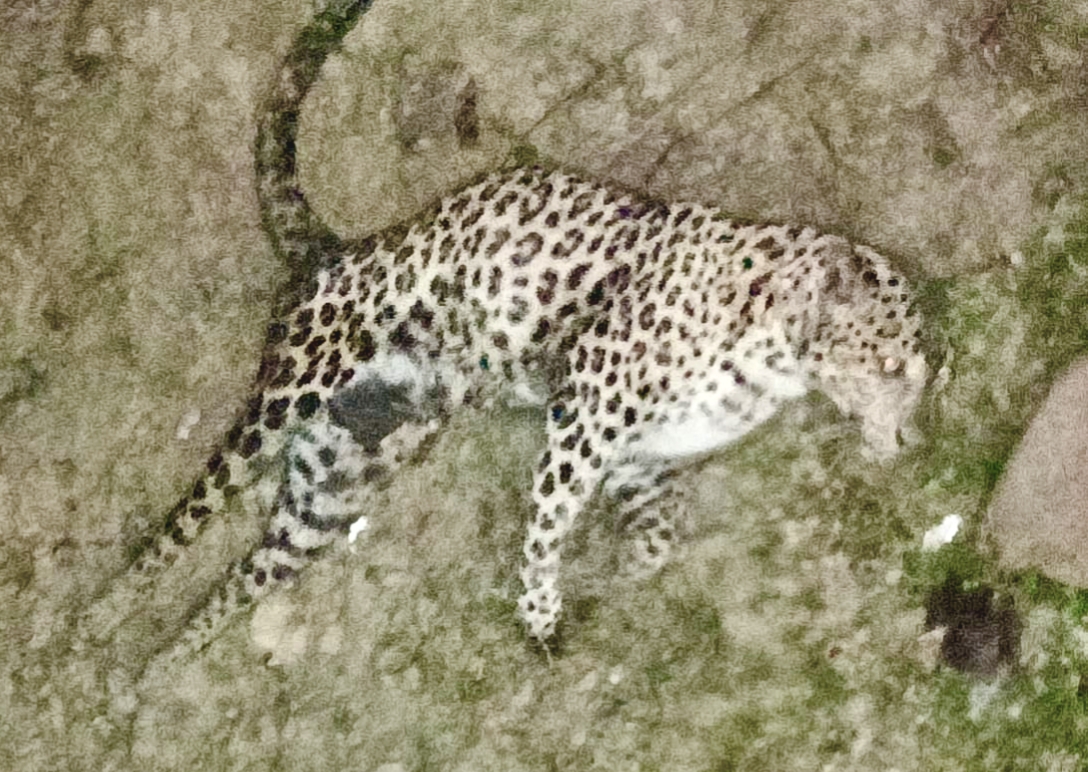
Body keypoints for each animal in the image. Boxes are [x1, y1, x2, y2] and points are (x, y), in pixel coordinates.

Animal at [74, 0, 926, 671]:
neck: (775, 359)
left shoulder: (636, 457)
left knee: (245, 573)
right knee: (182, 526)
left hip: (336, 484)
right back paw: (100, 616)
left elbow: (658, 534)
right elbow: (546, 527)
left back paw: (154, 668)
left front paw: (621, 571)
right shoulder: (584, 418)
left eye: (919, 378)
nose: (908, 440)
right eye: (889, 366)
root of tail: (339, 246)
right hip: (288, 396)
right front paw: (541, 614)